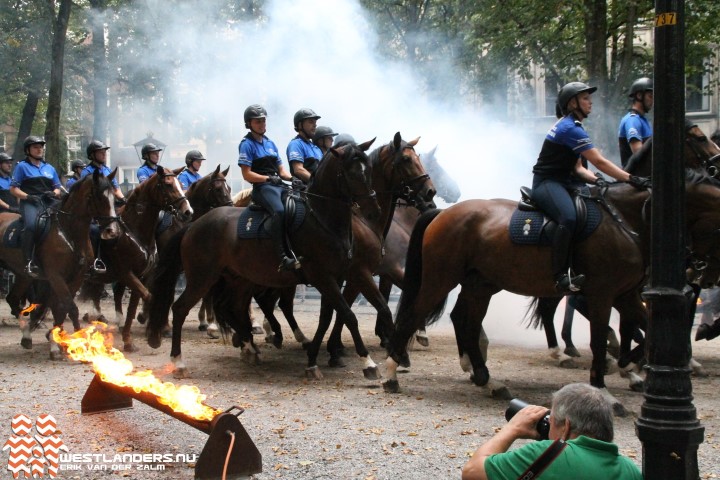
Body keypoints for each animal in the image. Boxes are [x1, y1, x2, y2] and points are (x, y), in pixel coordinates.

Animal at [0, 172, 119, 356]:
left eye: (113, 196)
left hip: (23, 275)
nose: (111, 230)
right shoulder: (55, 276)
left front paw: (57, 341)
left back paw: (26, 336)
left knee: (12, 298)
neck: (69, 233)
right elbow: (71, 308)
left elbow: (61, 307)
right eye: (99, 197)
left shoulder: (76, 277)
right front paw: (76, 342)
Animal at [146, 140, 382, 378]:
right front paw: (368, 363)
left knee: (230, 307)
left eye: (369, 169)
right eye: (351, 173)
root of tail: (193, 224)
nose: (373, 209)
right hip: (202, 278)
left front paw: (316, 357)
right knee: (181, 308)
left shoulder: (337, 277)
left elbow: (331, 316)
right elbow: (348, 315)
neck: (322, 219)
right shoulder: (322, 277)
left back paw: (250, 347)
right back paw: (179, 361)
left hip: (236, 278)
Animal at [386, 172, 720, 416]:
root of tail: (443, 213)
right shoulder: (602, 295)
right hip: (440, 280)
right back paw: (391, 372)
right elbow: (601, 339)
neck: (625, 221)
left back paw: (487, 379)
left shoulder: (626, 295)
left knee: (464, 322)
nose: (701, 272)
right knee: (413, 316)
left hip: (480, 285)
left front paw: (628, 364)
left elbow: (651, 333)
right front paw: (605, 386)